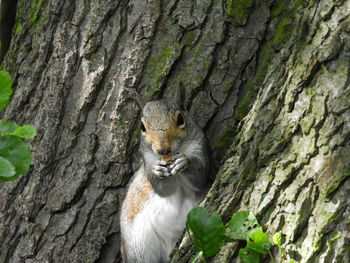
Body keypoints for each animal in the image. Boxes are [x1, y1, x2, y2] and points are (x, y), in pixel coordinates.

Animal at [120, 85, 209, 262]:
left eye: (180, 119)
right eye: (142, 127)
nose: (163, 149)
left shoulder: (200, 148)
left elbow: (201, 178)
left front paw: (184, 163)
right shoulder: (147, 160)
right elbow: (164, 191)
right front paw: (157, 171)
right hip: (139, 246)